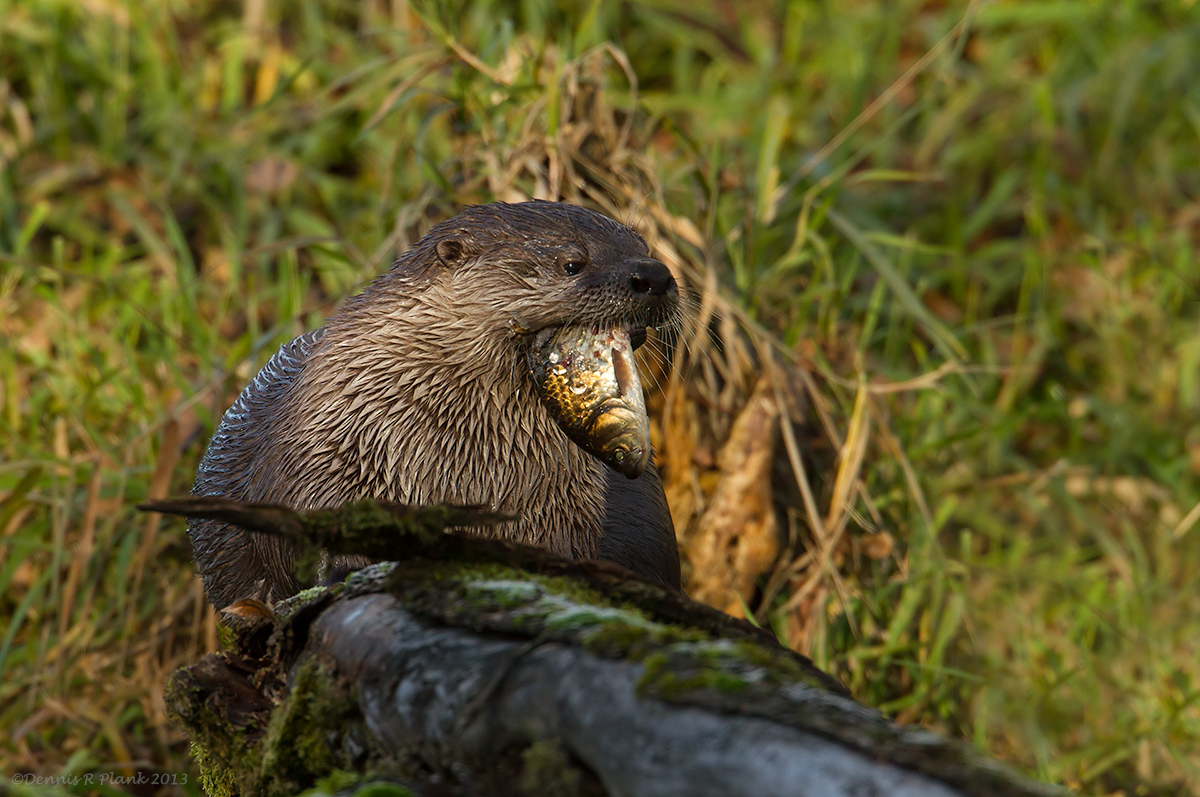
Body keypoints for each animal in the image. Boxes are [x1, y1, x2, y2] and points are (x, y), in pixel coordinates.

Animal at [189, 200, 682, 610]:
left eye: (644, 246)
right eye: (572, 263)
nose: (655, 276)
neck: (459, 465)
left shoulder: (562, 509)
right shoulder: (323, 453)